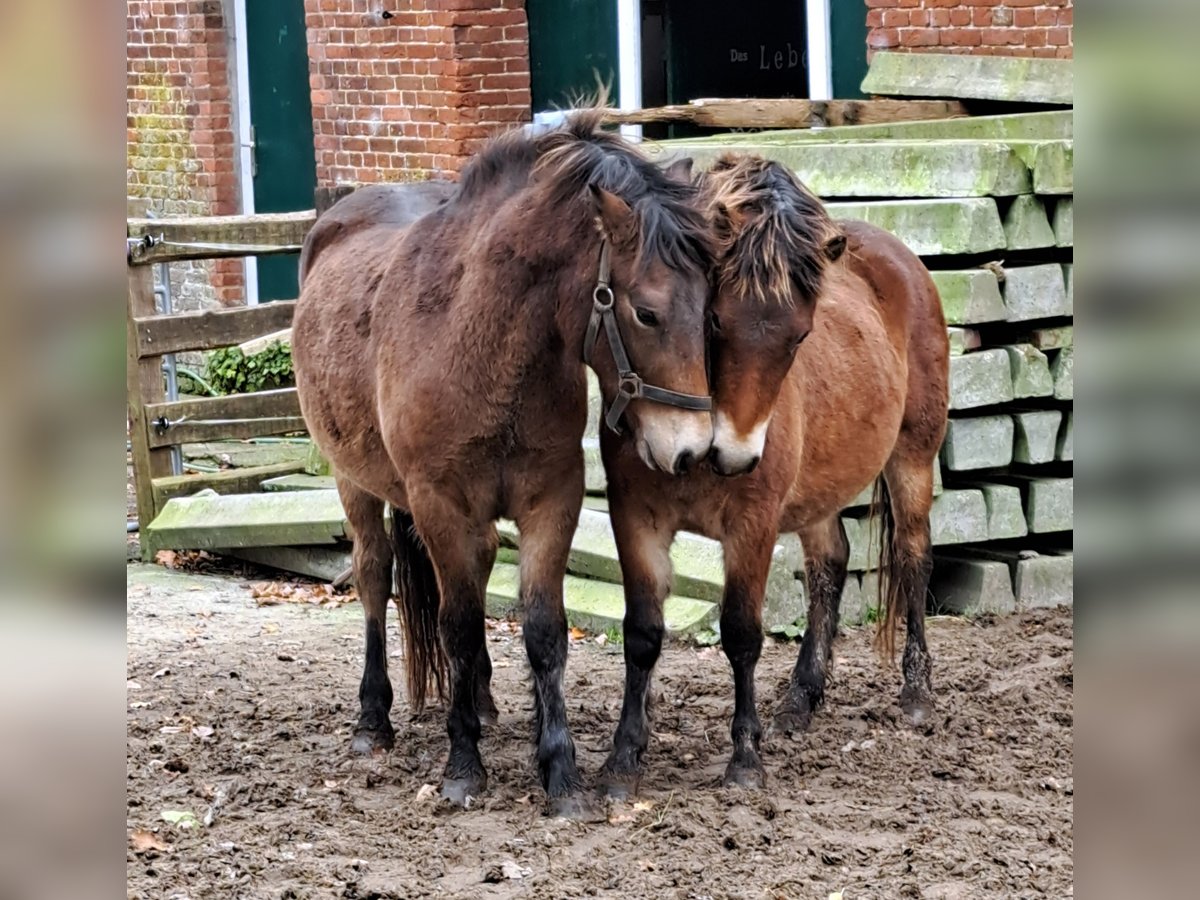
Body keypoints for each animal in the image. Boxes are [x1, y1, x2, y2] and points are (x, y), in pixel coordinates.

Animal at [294, 112, 715, 816]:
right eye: (647, 312)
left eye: (709, 308)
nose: (691, 450)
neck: (483, 339)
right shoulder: (438, 504)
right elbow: (459, 625)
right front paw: (463, 765)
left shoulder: (552, 501)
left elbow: (543, 630)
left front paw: (561, 772)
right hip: (353, 482)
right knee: (375, 578)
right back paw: (373, 720)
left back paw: (484, 702)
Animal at [597, 154, 945, 796]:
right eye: (713, 319)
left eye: (800, 336)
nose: (733, 456)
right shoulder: (635, 520)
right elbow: (642, 635)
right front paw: (623, 758)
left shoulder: (752, 526)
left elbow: (741, 634)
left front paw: (744, 759)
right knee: (830, 563)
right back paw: (800, 699)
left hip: (913, 458)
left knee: (913, 557)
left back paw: (916, 692)